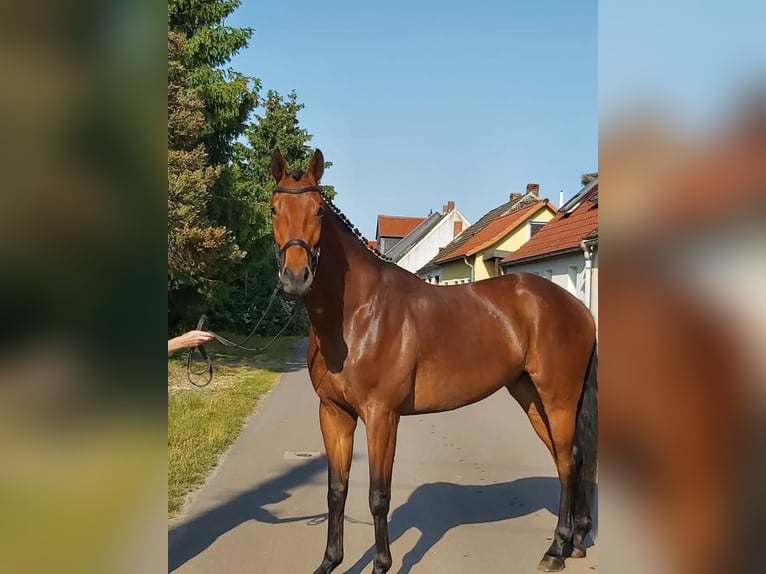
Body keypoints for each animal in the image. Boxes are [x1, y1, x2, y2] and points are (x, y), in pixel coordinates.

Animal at [270, 151, 600, 572]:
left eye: (318, 212)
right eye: (274, 209)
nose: (296, 277)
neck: (358, 314)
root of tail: (577, 306)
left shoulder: (382, 416)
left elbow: (378, 495)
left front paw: (381, 564)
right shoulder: (333, 413)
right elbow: (336, 490)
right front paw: (330, 561)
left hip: (558, 399)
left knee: (568, 464)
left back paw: (556, 550)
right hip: (530, 395)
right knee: (571, 457)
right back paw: (575, 541)